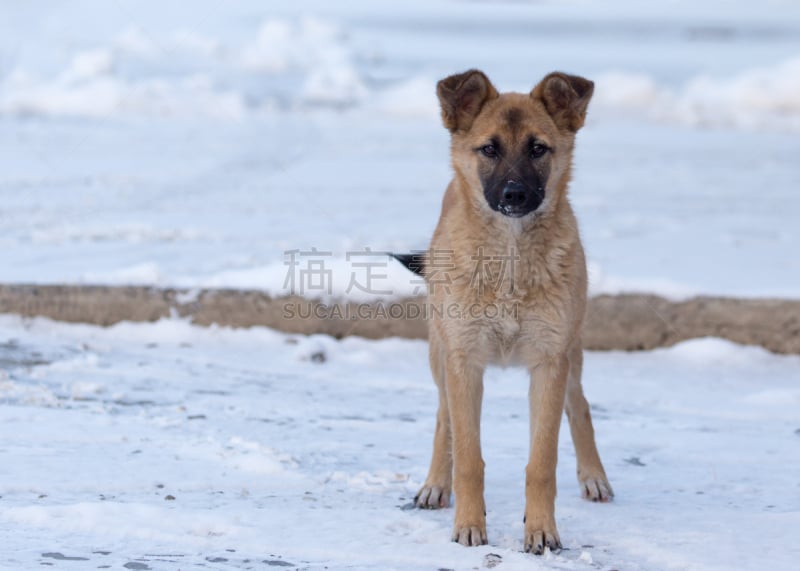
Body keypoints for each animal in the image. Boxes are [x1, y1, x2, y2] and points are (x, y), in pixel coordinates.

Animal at [398, 68, 612, 556]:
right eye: (489, 149)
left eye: (538, 149)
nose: (514, 194)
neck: (510, 263)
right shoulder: (464, 363)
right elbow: (468, 456)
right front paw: (468, 526)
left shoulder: (550, 362)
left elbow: (542, 461)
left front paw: (542, 531)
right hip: (440, 354)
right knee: (444, 419)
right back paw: (435, 485)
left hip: (572, 354)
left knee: (580, 405)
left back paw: (594, 477)